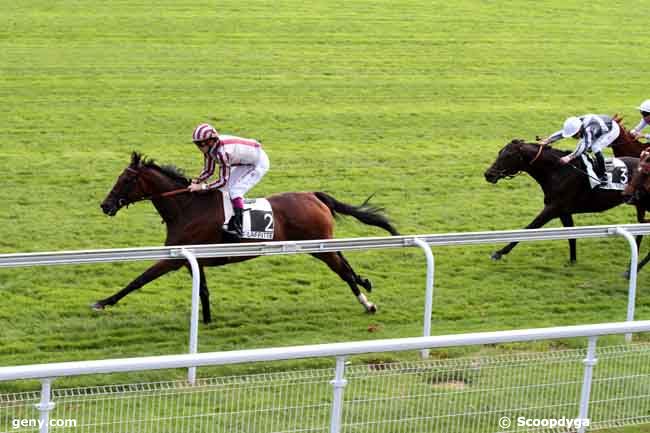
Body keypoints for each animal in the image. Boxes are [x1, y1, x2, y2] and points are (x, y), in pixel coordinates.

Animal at [97, 150, 400, 322]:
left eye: (126, 180)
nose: (105, 205)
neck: (187, 208)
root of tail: (314, 195)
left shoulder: (174, 259)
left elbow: (139, 279)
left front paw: (102, 302)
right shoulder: (193, 259)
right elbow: (203, 290)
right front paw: (207, 320)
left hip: (317, 246)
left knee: (343, 271)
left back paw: (367, 303)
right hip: (320, 244)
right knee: (344, 262)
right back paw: (365, 283)